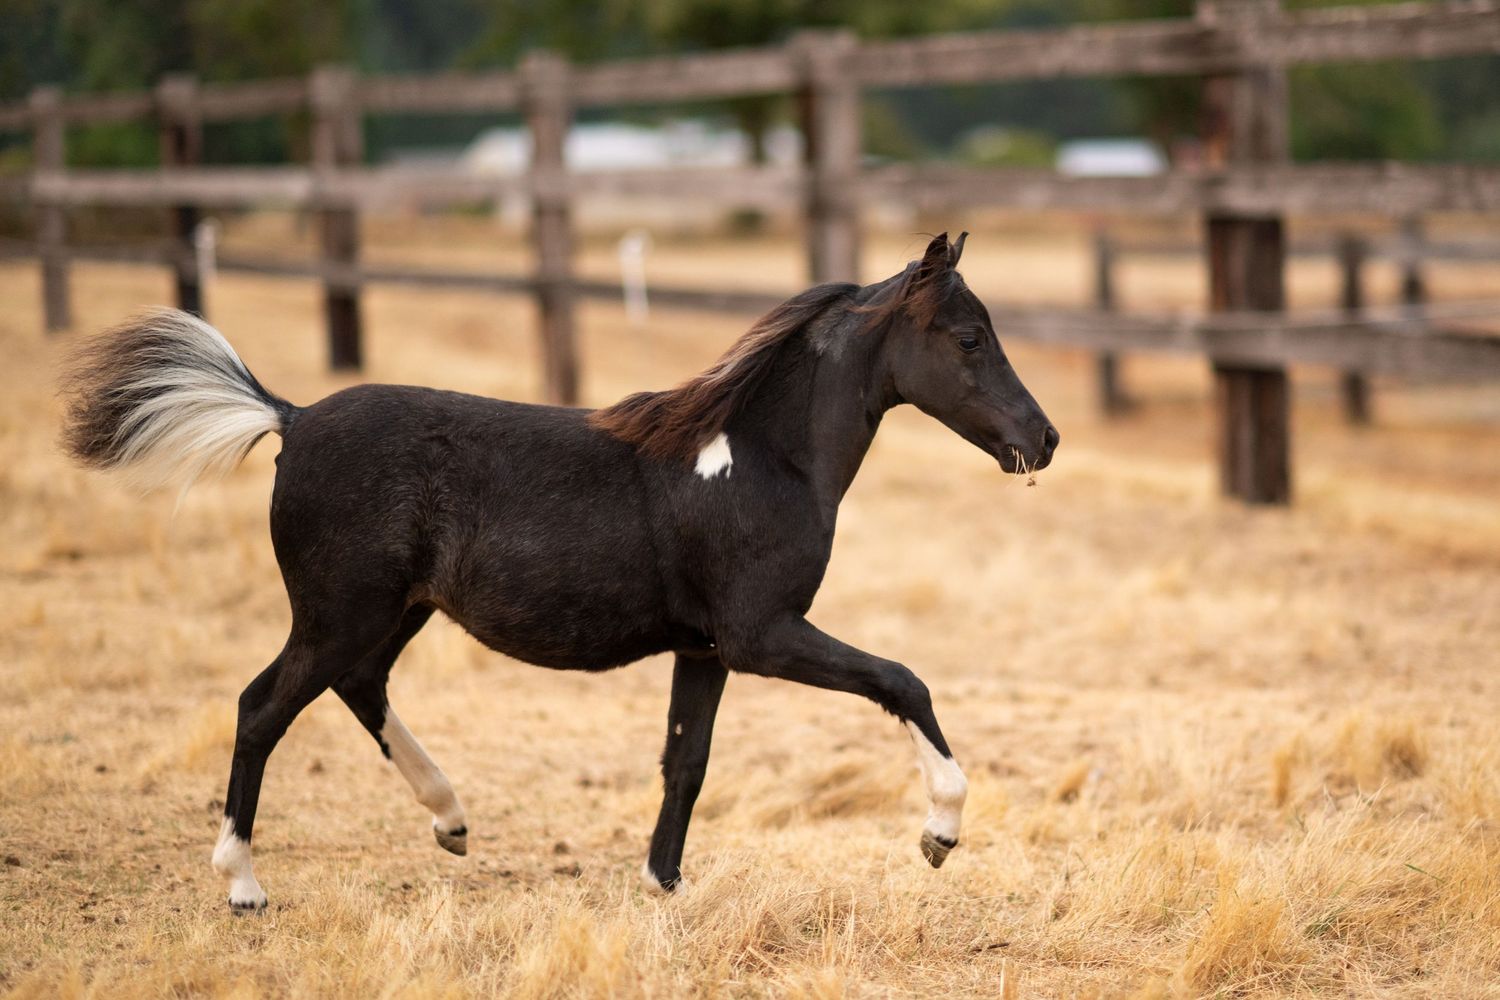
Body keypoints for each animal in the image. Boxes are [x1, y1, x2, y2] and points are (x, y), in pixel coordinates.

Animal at [61, 232, 1057, 913]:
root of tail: (292, 418)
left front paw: (663, 884)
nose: (1043, 438)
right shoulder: (762, 635)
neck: (757, 457)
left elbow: (685, 762)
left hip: (393, 612)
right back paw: (243, 884)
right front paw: (941, 831)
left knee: (359, 687)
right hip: (340, 610)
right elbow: (903, 681)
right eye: (969, 338)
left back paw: (452, 821)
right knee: (262, 707)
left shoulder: (704, 649)